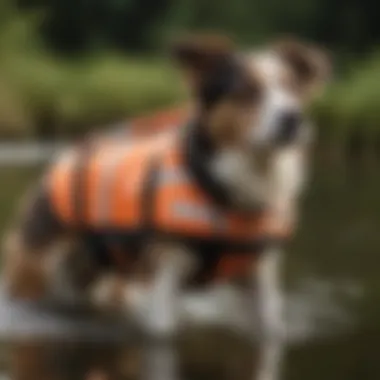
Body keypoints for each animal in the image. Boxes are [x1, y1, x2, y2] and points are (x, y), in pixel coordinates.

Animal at [2, 33, 330, 380]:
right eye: (246, 92)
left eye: (292, 88)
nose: (292, 118)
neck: (224, 189)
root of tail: (58, 164)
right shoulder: (160, 273)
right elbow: (163, 334)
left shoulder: (260, 275)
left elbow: (271, 329)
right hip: (36, 276)